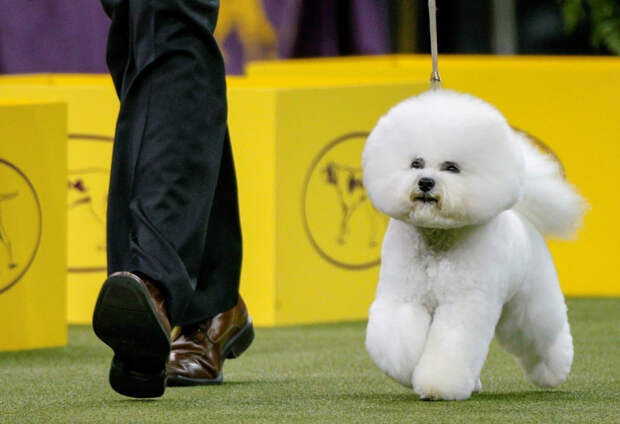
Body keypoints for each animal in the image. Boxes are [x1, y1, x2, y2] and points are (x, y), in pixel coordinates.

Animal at [360, 89, 584, 400]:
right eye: (416, 163)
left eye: (451, 167)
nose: (425, 182)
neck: (437, 238)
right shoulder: (404, 295)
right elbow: (395, 338)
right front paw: (407, 371)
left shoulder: (464, 304)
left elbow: (453, 346)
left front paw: (437, 387)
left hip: (527, 303)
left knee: (541, 335)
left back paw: (554, 371)